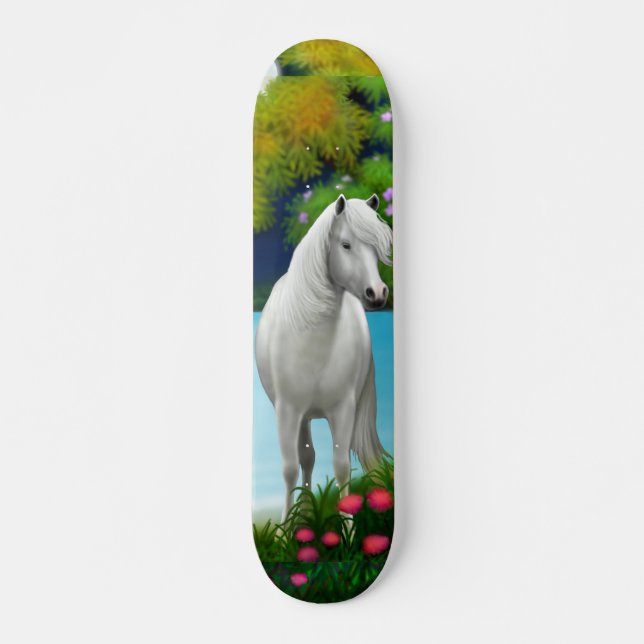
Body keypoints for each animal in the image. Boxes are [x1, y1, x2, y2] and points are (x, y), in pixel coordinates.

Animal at [255, 193, 393, 522]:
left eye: (376, 248)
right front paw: (284, 528)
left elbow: (341, 466)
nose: (378, 293)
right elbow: (290, 468)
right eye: (345, 245)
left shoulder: (343, 409)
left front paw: (348, 526)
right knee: (306, 459)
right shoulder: (287, 411)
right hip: (302, 416)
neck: (314, 342)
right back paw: (302, 517)